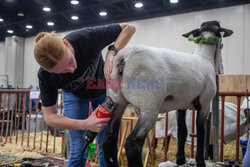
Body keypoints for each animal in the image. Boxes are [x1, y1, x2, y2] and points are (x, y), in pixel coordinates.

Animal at [101, 20, 232, 167]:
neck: (204, 57)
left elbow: (182, 131)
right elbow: (200, 132)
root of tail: (123, 58)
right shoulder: (205, 103)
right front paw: (200, 162)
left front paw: (180, 159)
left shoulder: (182, 104)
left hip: (117, 101)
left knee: (108, 140)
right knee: (132, 142)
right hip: (149, 106)